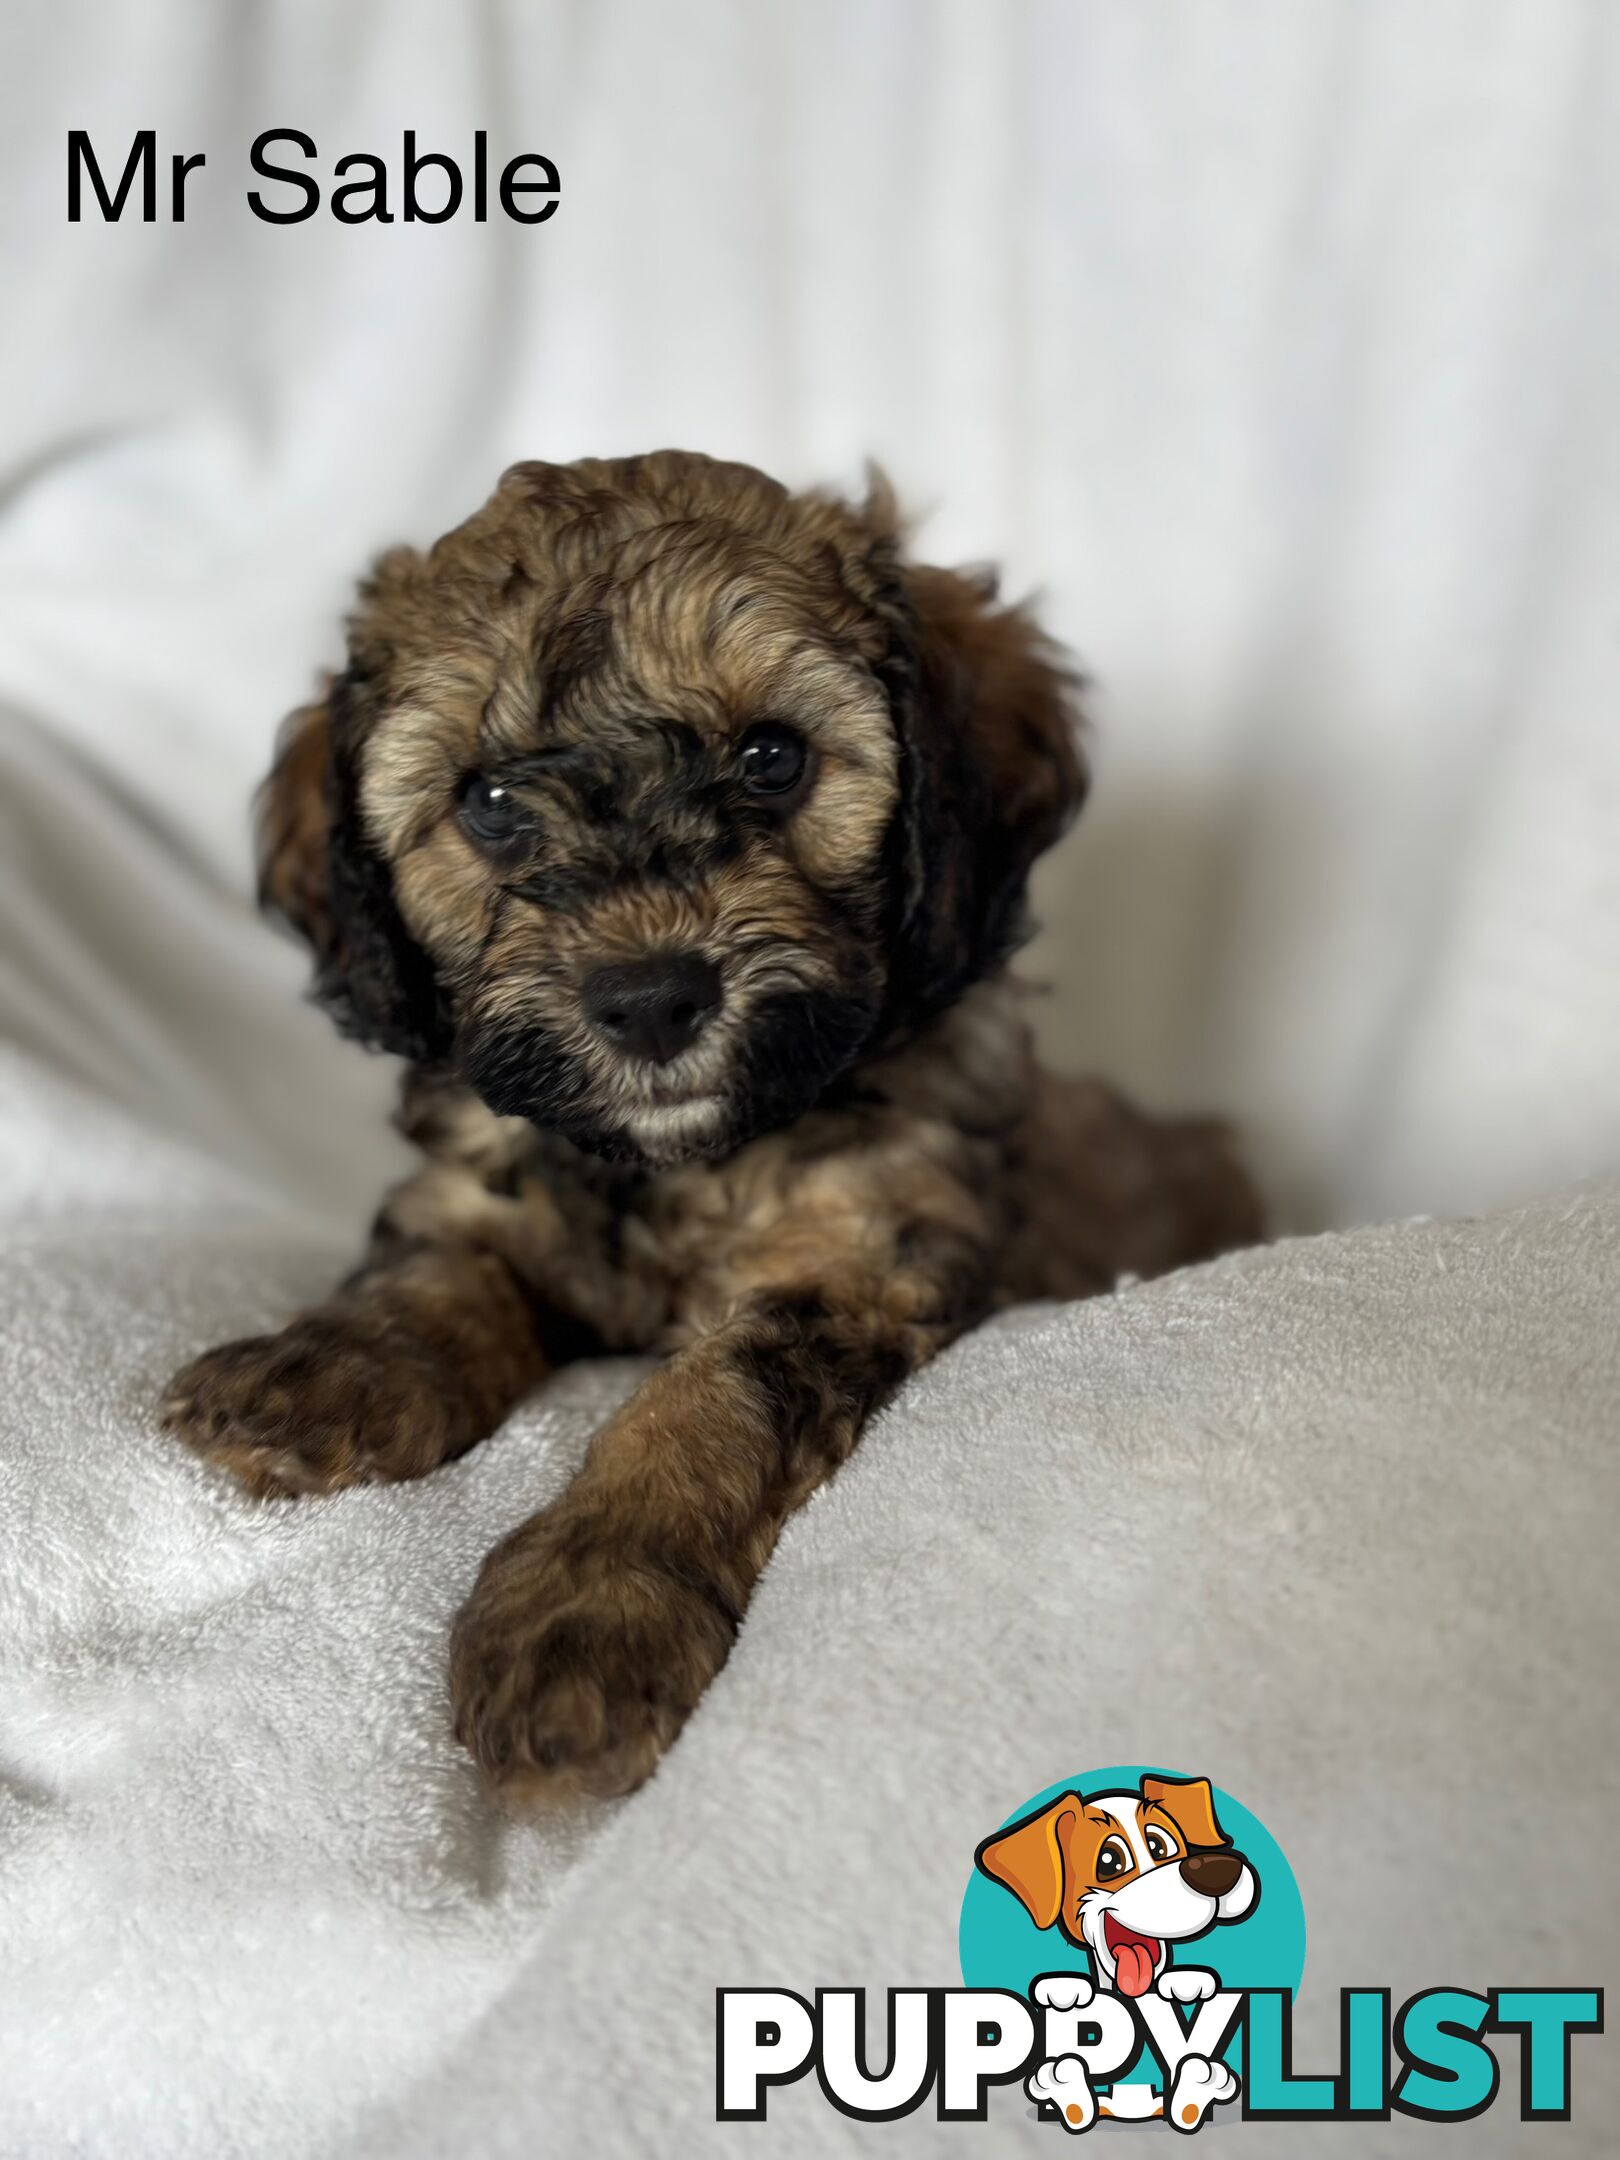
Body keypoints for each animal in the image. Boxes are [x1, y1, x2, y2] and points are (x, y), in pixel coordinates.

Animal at [165, 455, 1261, 1805]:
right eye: (489, 801)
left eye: (771, 757)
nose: (650, 999)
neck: (674, 1165)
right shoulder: (482, 1193)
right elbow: (427, 1280)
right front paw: (320, 1370)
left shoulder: (854, 1250)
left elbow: (708, 1401)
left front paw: (590, 1607)